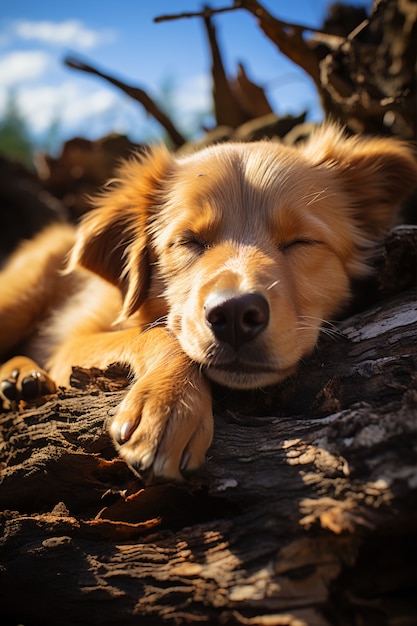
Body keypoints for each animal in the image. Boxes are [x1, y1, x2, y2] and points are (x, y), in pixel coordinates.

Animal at [0, 125, 416, 478]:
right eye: (189, 241)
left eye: (301, 241)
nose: (235, 315)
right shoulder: (71, 343)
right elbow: (158, 333)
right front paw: (166, 404)